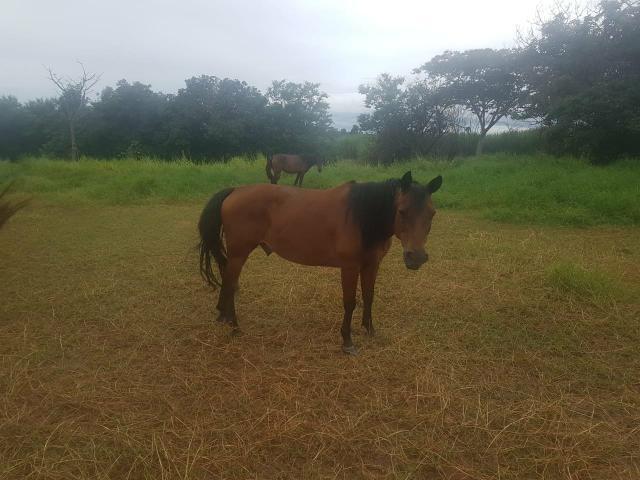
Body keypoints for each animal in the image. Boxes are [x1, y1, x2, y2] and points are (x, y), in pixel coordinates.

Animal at [198, 171, 442, 354]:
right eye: (402, 211)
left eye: (432, 213)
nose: (416, 257)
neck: (360, 216)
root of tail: (235, 191)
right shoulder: (350, 267)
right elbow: (350, 302)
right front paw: (347, 341)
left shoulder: (372, 265)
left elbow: (369, 297)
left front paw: (370, 330)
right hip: (239, 254)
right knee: (230, 283)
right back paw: (234, 326)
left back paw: (223, 316)